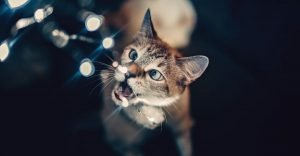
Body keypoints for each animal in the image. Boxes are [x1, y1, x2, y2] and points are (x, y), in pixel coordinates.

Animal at [101, 9, 209, 155]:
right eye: (133, 55)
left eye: (154, 74)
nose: (127, 73)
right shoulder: (107, 75)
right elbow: (125, 106)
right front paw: (152, 115)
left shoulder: (181, 118)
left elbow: (185, 144)